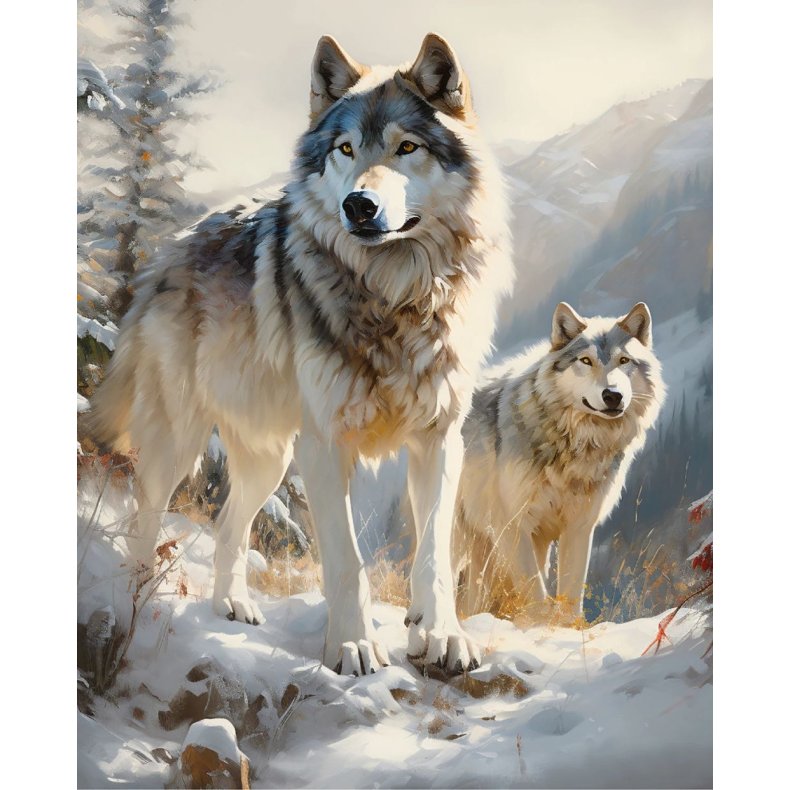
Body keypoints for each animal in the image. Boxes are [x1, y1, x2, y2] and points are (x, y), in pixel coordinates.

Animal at [89, 34, 513, 676]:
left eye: (406, 147)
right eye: (345, 149)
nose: (359, 206)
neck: (394, 299)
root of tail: (172, 250)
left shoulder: (440, 441)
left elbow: (434, 555)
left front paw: (441, 635)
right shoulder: (327, 446)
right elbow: (346, 560)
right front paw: (353, 646)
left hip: (269, 456)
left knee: (228, 524)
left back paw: (232, 605)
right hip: (181, 442)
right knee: (144, 517)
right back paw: (137, 602)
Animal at [454, 302, 665, 621]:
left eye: (624, 360)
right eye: (586, 361)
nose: (612, 395)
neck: (576, 445)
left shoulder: (579, 527)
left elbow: (571, 591)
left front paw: (566, 627)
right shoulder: (512, 525)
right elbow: (536, 591)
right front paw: (541, 625)